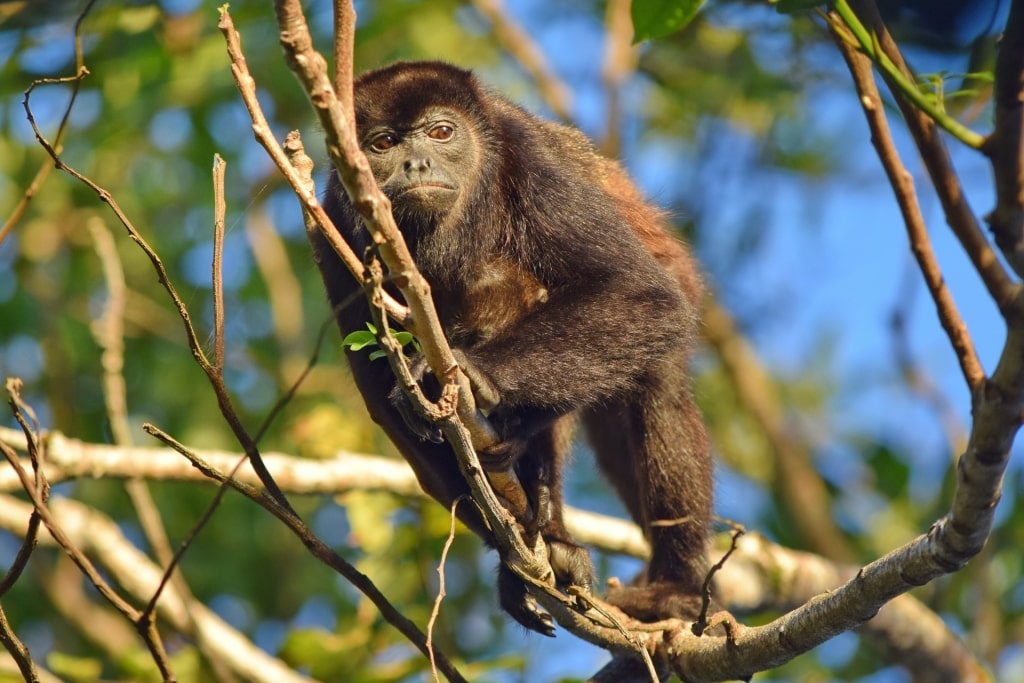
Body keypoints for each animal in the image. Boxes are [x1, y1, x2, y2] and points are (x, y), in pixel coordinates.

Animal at [311, 60, 712, 634]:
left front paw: (476, 376)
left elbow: (640, 292)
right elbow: (382, 392)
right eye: (382, 143)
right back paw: (545, 518)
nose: (416, 162)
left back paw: (675, 587)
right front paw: (515, 556)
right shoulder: (333, 224)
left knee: (658, 387)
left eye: (442, 132)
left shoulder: (530, 161)